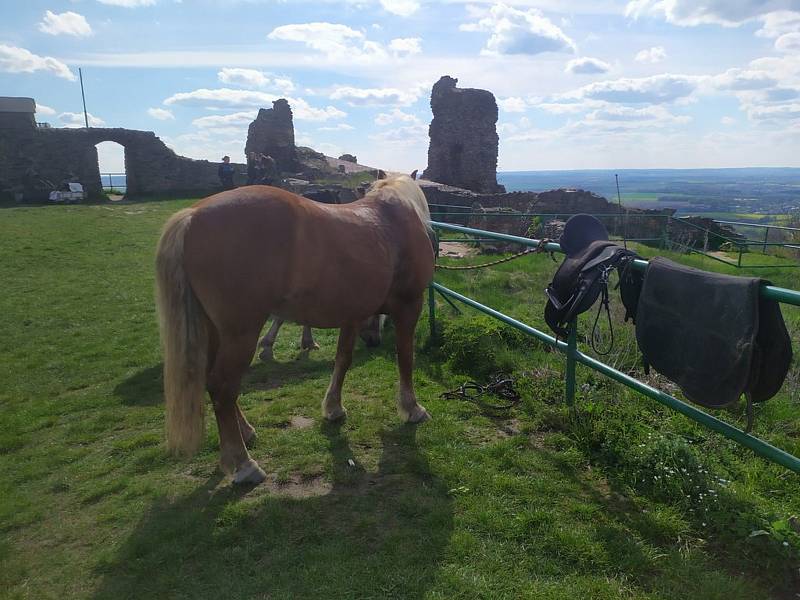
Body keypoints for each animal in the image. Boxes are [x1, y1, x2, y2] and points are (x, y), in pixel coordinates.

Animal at [154, 176, 434, 486]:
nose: (372, 340)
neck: (394, 218)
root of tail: (192, 216)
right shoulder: (410, 305)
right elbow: (405, 357)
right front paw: (412, 408)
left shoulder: (351, 314)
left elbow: (343, 360)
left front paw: (333, 408)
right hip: (241, 333)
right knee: (223, 386)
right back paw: (242, 464)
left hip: (215, 332)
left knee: (212, 381)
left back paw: (246, 433)